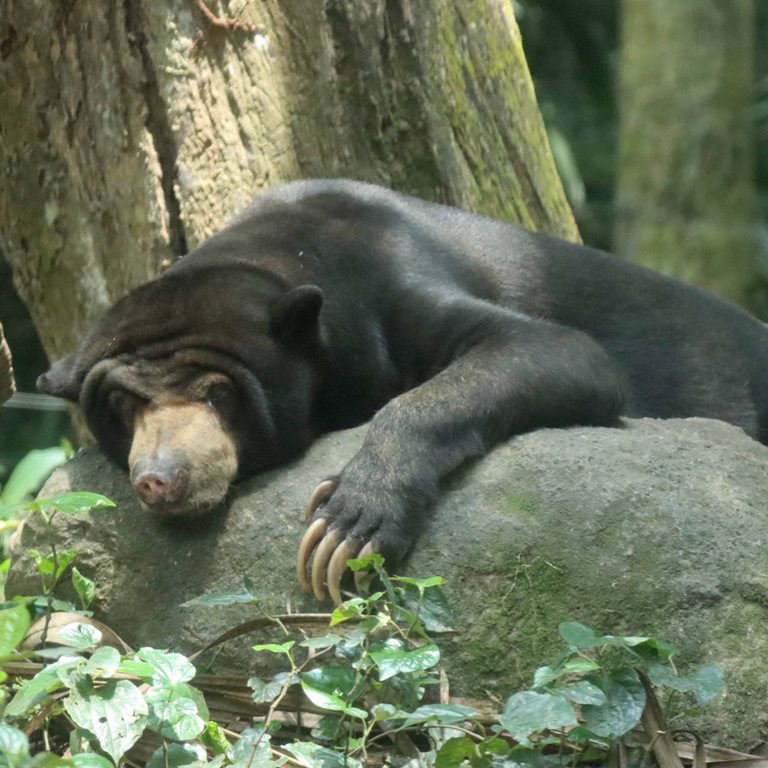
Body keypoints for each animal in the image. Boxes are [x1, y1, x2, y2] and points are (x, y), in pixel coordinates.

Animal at [38, 179, 768, 603]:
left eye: (220, 395)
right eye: (126, 406)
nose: (159, 479)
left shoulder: (391, 285)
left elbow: (561, 352)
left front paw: (346, 529)